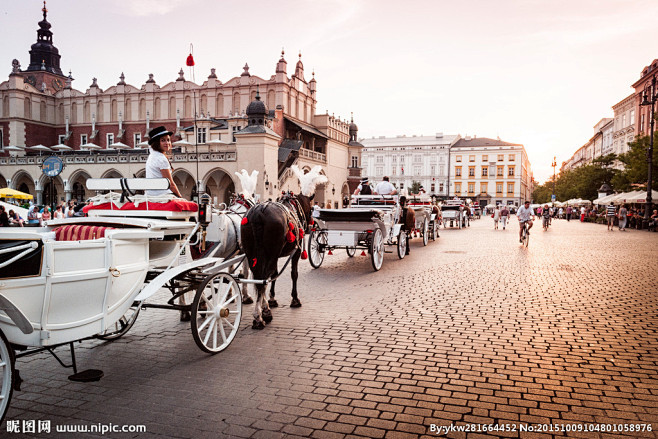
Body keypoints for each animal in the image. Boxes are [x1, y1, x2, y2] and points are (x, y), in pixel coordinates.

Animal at [238, 192, 312, 330]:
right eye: (311, 209)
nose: (310, 225)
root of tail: (259, 212)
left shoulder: (275, 256)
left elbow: (275, 275)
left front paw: (272, 299)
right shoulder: (296, 251)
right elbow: (293, 274)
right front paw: (295, 299)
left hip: (252, 253)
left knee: (259, 278)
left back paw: (262, 310)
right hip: (271, 252)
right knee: (263, 279)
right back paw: (260, 316)